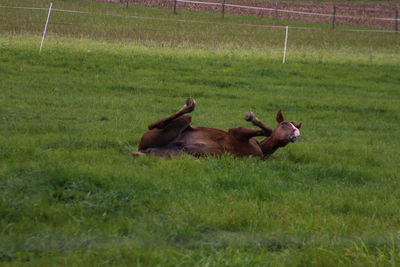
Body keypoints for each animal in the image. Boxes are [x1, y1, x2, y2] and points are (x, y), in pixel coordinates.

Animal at [133, 99, 302, 160]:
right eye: (284, 124)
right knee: (156, 124)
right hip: (181, 121)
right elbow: (267, 130)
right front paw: (251, 117)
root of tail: (142, 149)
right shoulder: (236, 132)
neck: (261, 148)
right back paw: (189, 105)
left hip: (174, 155)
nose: (296, 133)